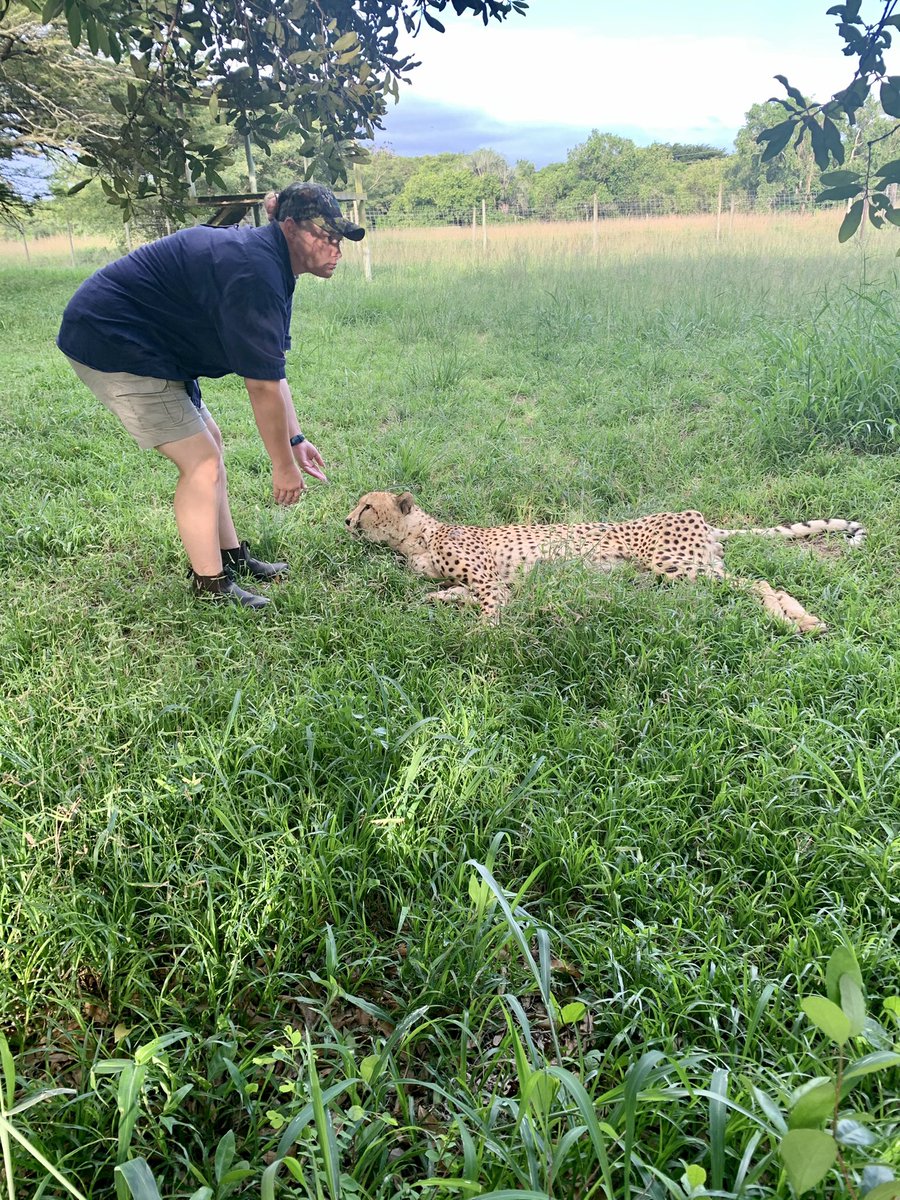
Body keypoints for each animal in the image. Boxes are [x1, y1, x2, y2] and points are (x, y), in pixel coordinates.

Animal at [345, 490, 866, 633]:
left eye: (367, 506)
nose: (346, 520)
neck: (417, 538)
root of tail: (697, 515)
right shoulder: (488, 583)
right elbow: (455, 593)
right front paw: (437, 601)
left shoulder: (492, 581)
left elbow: (489, 611)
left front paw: (476, 637)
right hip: (681, 576)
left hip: (675, 567)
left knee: (759, 584)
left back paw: (794, 620)